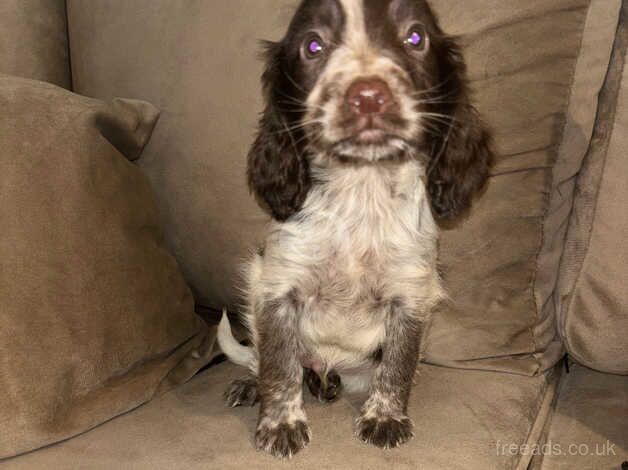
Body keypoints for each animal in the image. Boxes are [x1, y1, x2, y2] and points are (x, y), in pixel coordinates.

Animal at [218, 0, 494, 458]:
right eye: (313, 45)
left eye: (415, 37)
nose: (367, 96)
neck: (360, 189)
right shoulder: (275, 288)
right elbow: (278, 364)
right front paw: (280, 423)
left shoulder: (410, 295)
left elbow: (398, 365)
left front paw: (385, 417)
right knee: (264, 357)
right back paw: (257, 384)